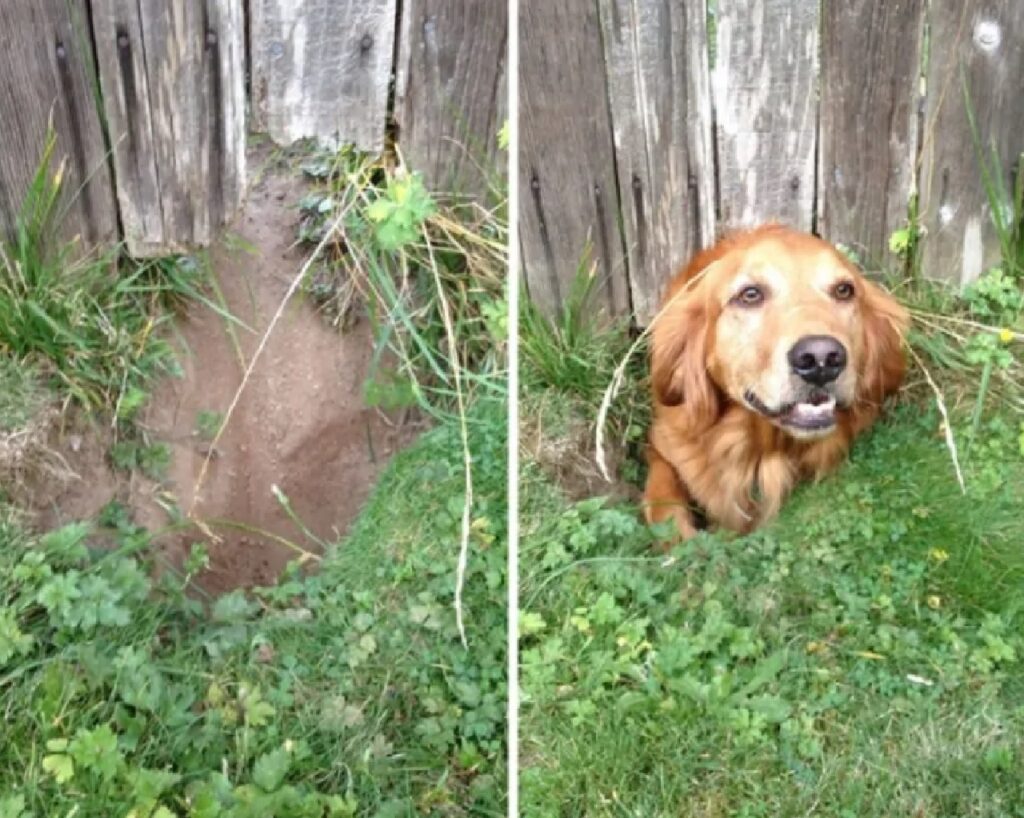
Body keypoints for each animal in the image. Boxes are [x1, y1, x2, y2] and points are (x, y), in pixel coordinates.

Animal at [643, 225, 909, 544]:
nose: (821, 359)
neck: (760, 447)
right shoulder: (662, 444)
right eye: (750, 294)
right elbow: (664, 504)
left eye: (844, 290)